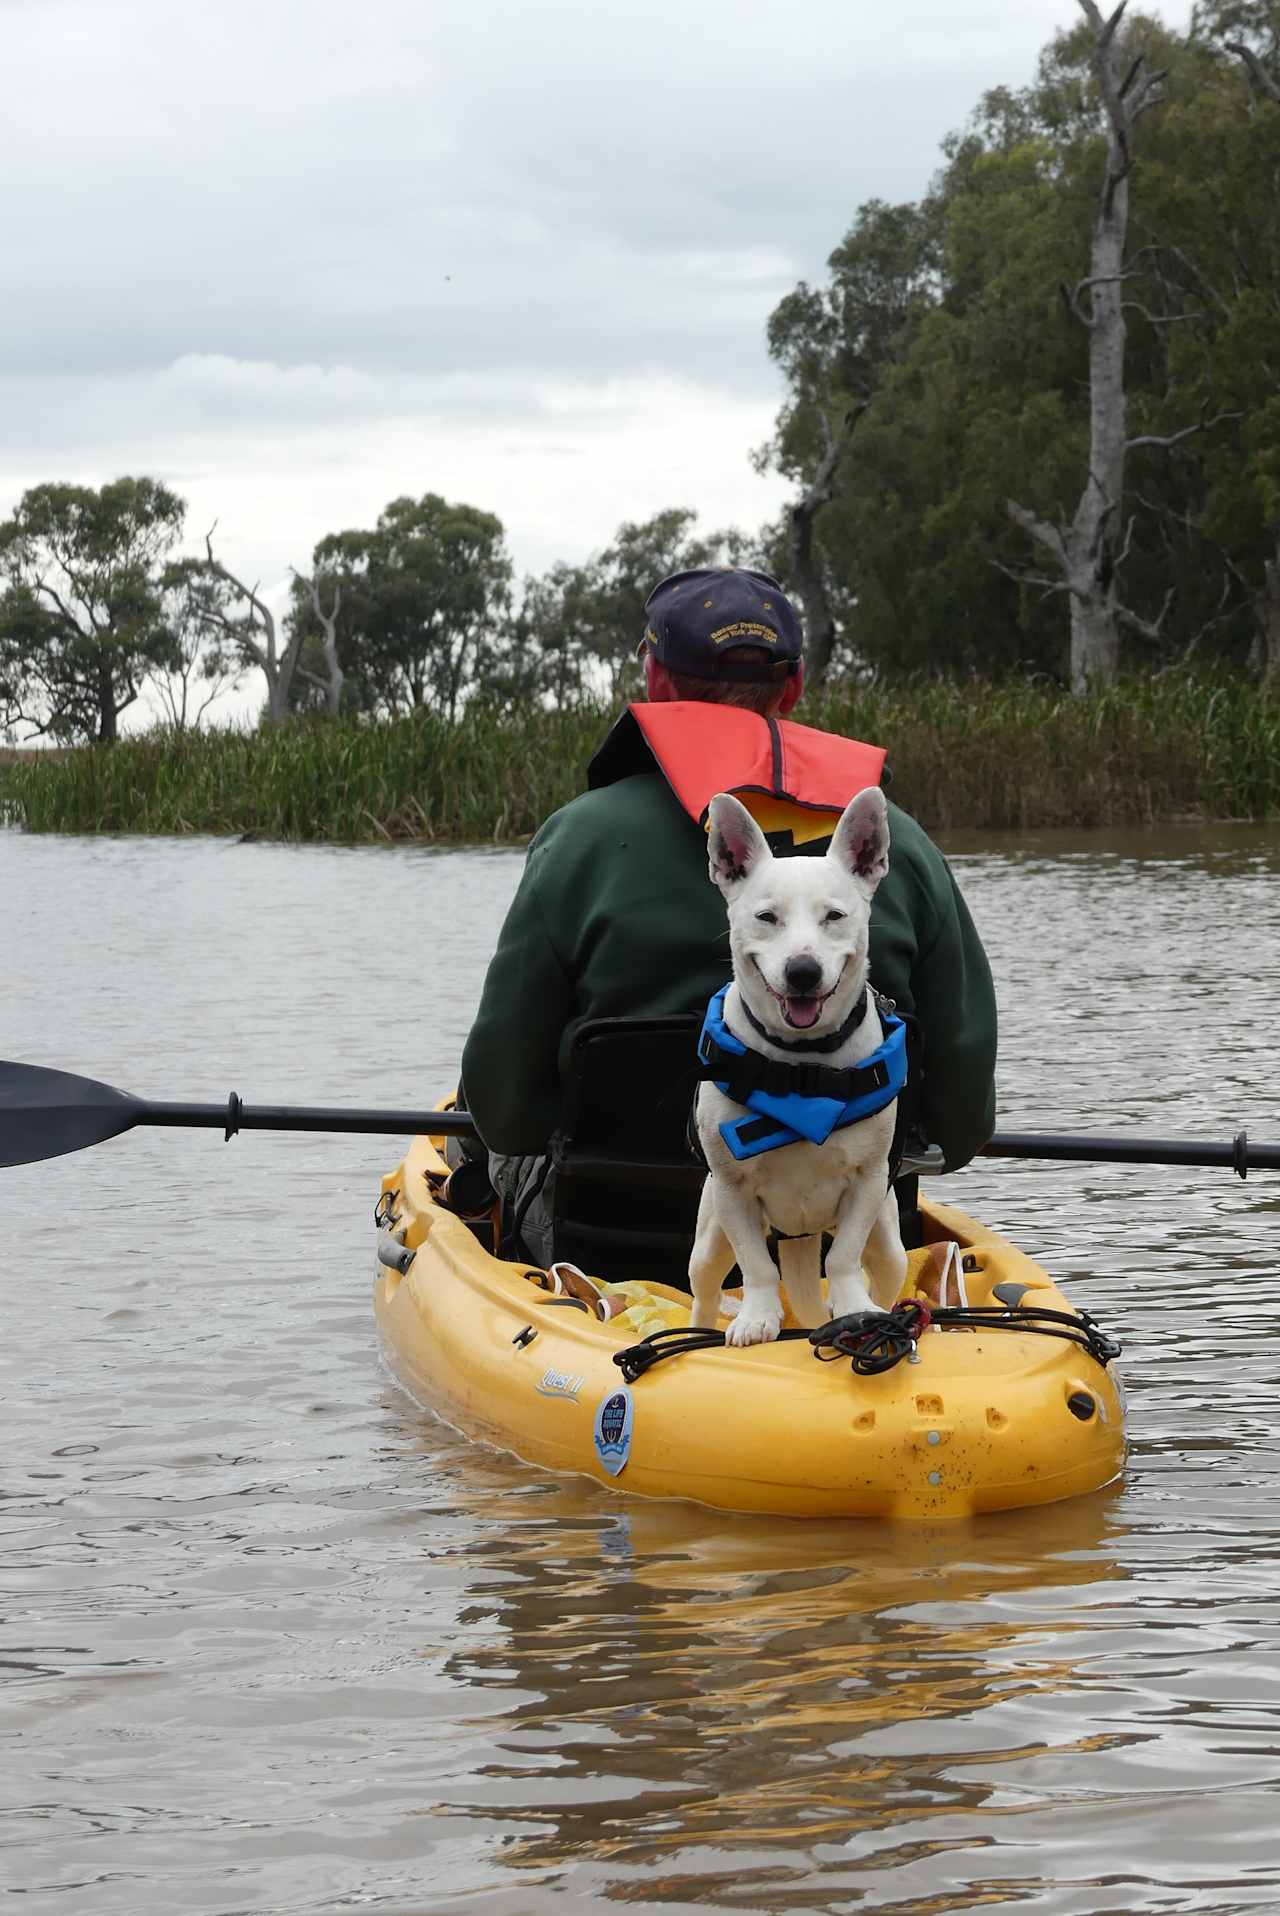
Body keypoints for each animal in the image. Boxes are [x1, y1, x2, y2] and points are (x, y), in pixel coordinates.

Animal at [689, 789, 908, 1348]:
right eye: (767, 917)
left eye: (834, 915)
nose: (803, 971)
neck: (803, 1065)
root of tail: (800, 1234)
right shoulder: (732, 1190)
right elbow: (756, 1265)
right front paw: (757, 1317)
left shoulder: (868, 1181)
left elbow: (845, 1257)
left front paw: (852, 1306)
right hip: (709, 1237)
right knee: (704, 1289)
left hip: (889, 1240)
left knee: (884, 1272)